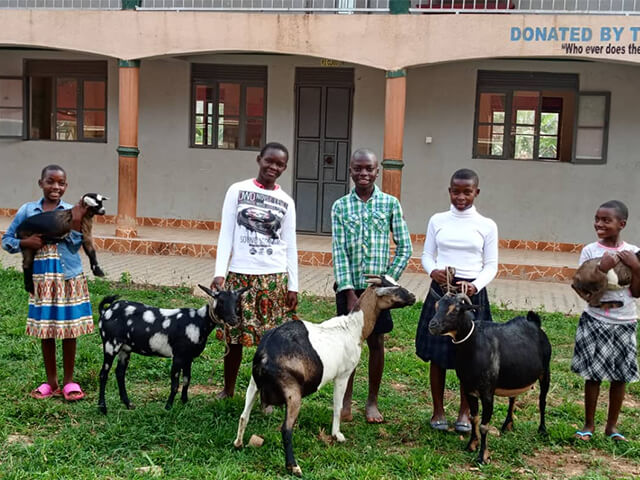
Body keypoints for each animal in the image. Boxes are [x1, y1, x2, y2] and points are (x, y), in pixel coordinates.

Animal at [97, 284, 248, 414]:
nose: (234, 320)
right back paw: (103, 408)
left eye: (237, 301)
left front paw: (184, 402)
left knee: (119, 373)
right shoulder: (178, 356)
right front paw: (168, 407)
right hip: (110, 345)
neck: (198, 321)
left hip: (125, 349)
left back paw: (128, 404)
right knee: (103, 374)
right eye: (220, 301)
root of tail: (106, 311)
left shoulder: (189, 358)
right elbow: (175, 384)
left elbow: (187, 379)